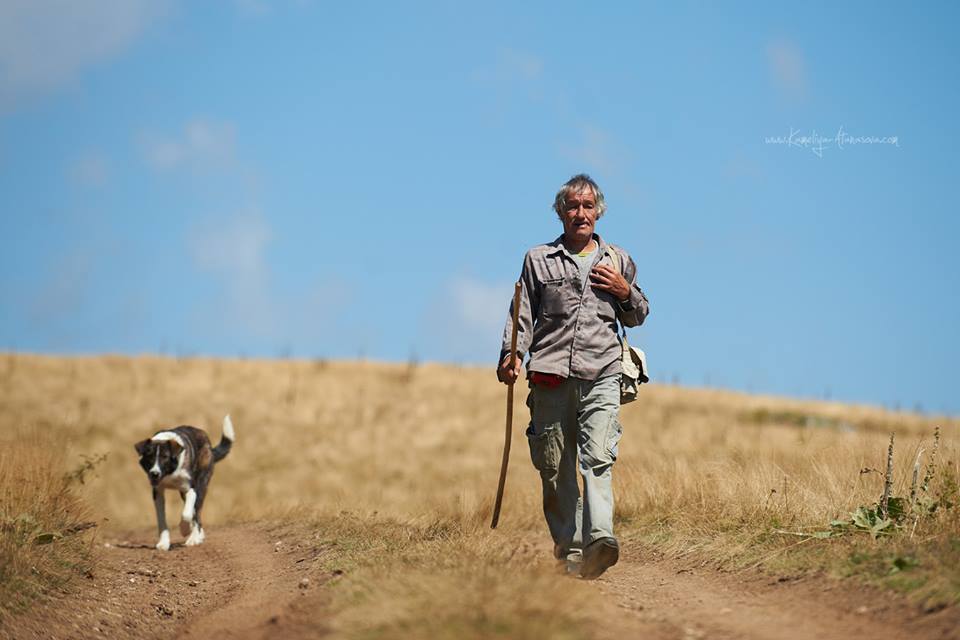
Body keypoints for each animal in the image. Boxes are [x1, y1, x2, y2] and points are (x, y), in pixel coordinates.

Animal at [134, 416, 235, 552]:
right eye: (149, 457)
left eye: (165, 457)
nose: (154, 473)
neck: (170, 473)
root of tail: (208, 442)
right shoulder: (158, 493)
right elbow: (162, 519)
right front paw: (164, 543)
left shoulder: (191, 489)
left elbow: (187, 513)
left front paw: (184, 530)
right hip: (183, 492)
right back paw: (198, 535)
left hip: (201, 486)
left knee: (196, 513)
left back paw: (194, 538)